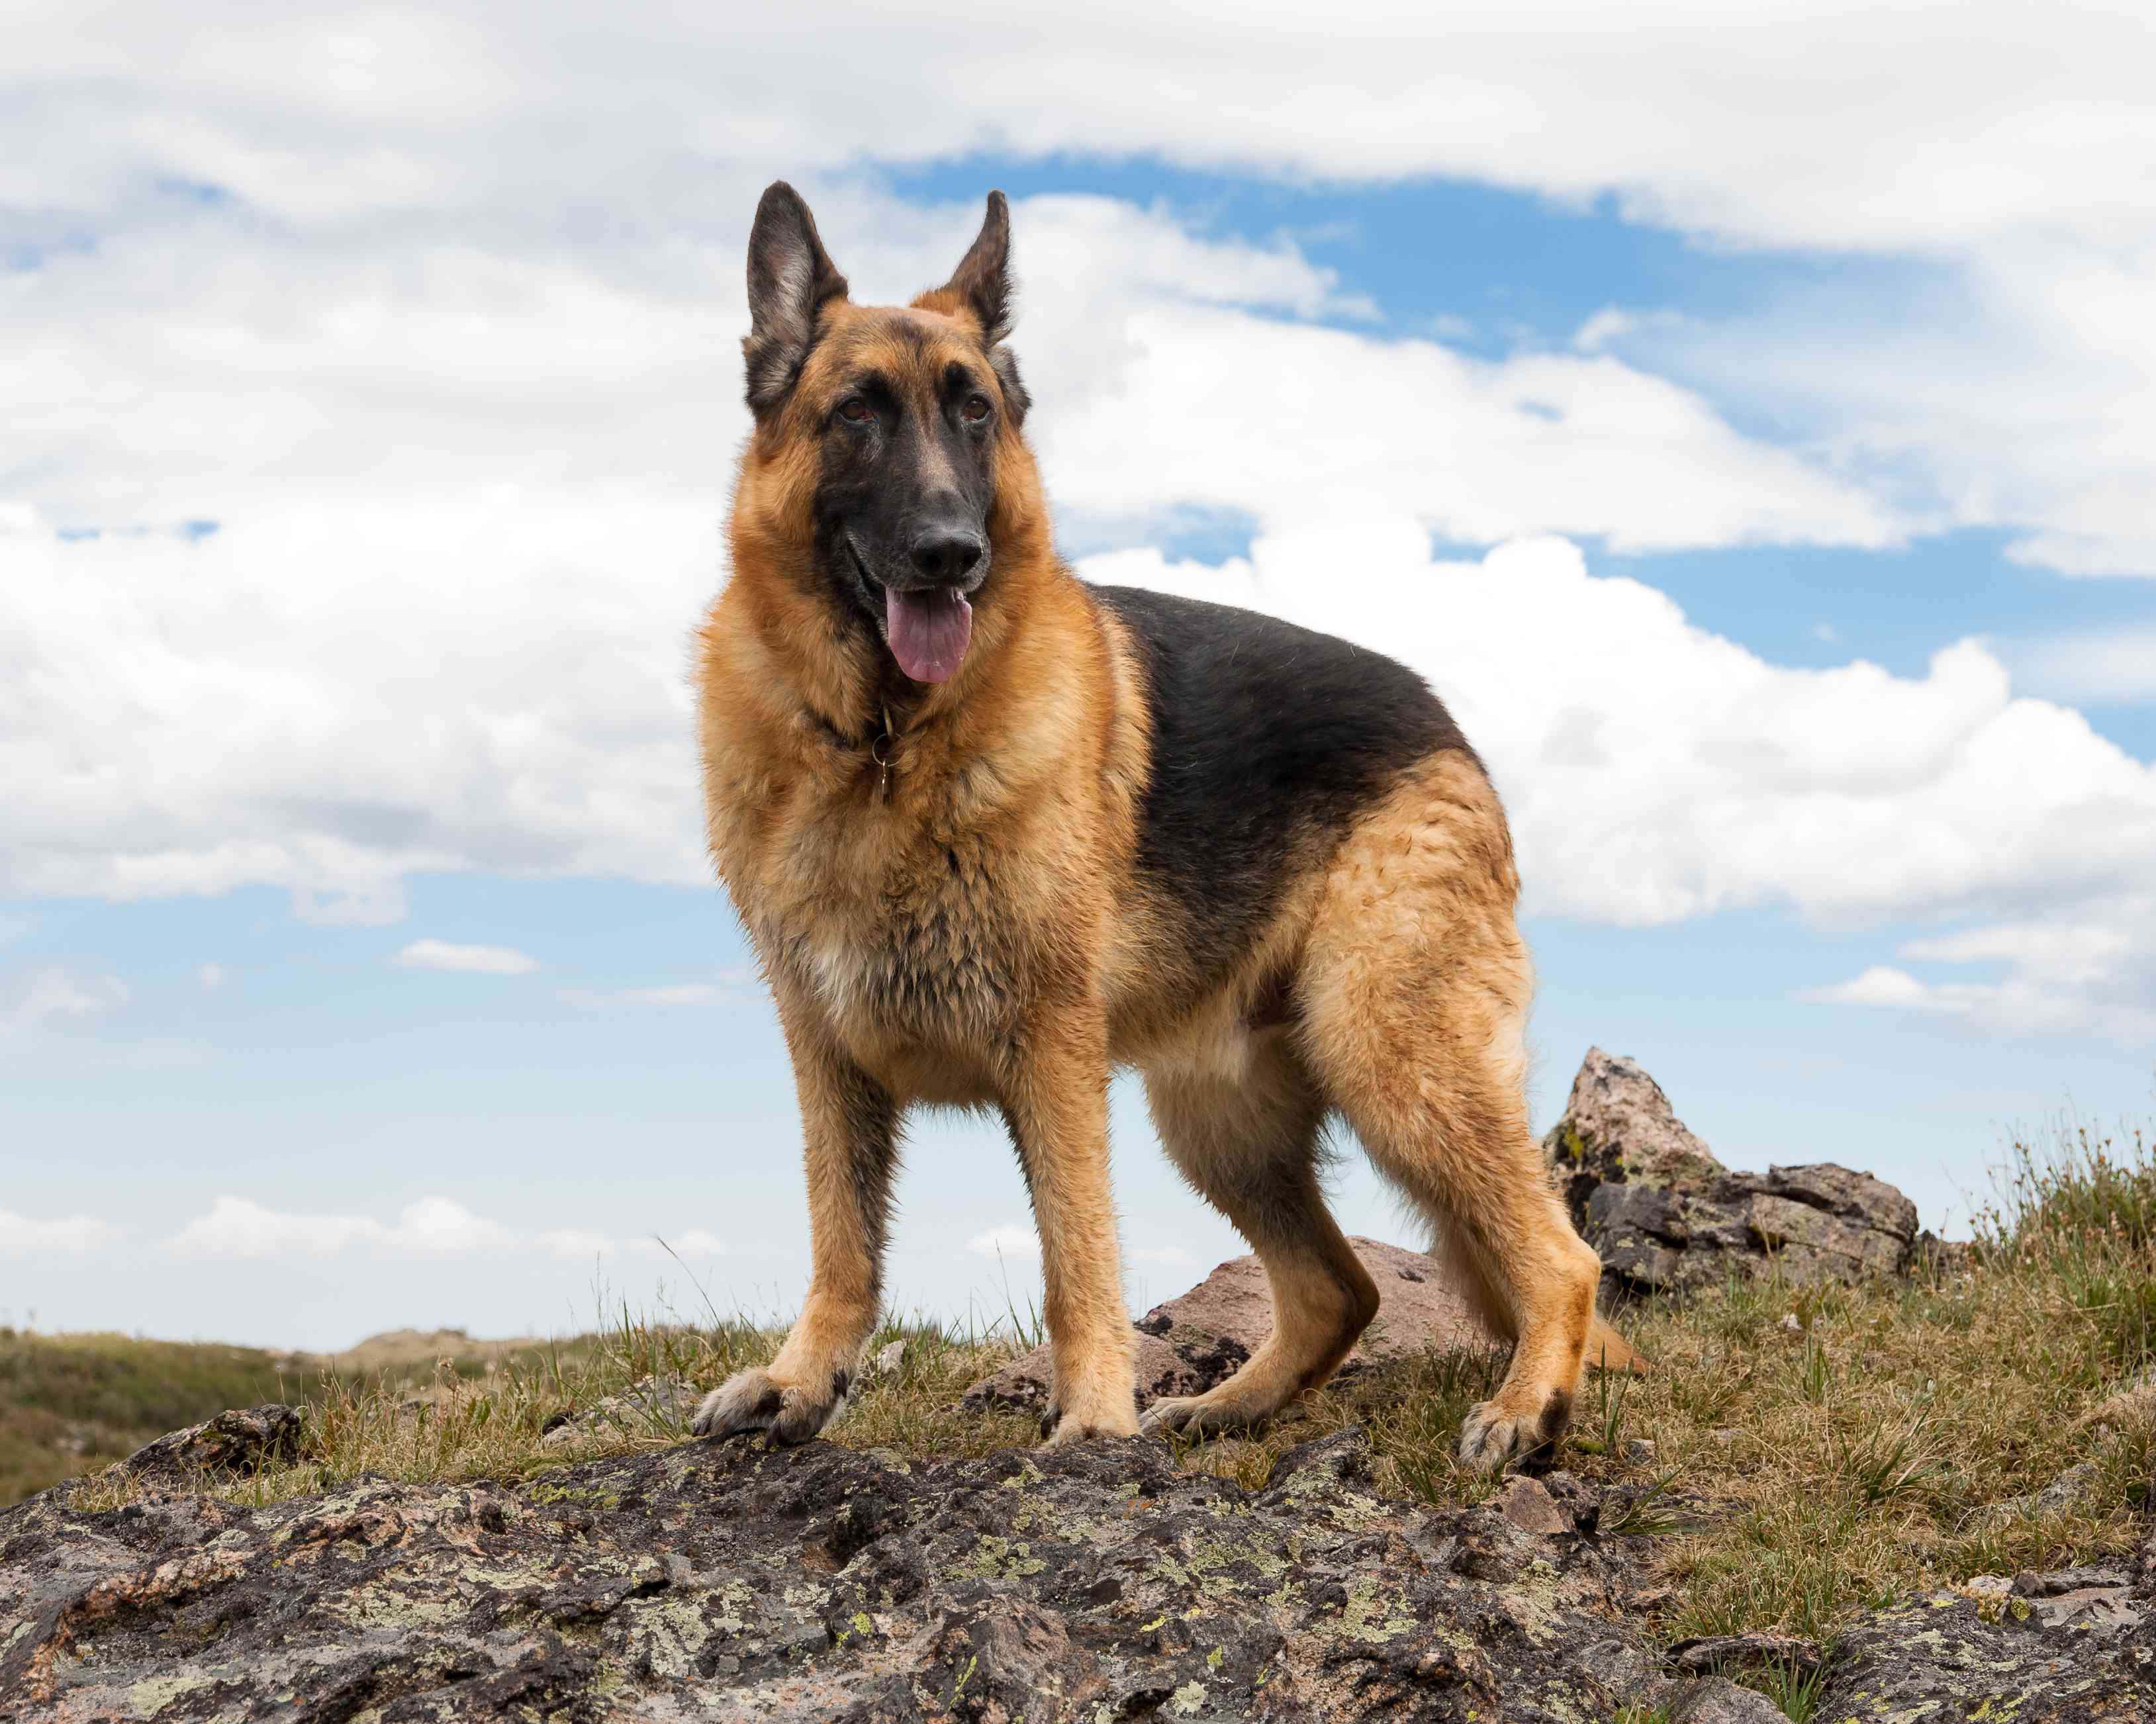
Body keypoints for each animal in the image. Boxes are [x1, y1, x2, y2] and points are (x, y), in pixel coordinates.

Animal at [690, 185, 1630, 1457]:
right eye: (856, 416)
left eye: (974, 412)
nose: (951, 553)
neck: (883, 746)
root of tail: (1445, 724)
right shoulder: (825, 1051)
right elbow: (841, 1244)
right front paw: (800, 1381)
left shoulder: (1050, 1053)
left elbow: (1074, 1252)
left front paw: (1090, 1417)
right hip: (1219, 1114)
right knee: (1342, 1288)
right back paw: (1230, 1405)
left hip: (1387, 1051)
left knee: (1560, 1256)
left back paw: (1527, 1407)